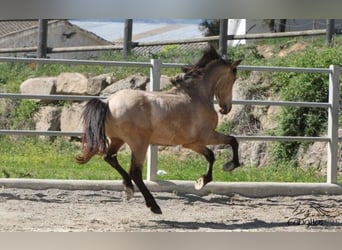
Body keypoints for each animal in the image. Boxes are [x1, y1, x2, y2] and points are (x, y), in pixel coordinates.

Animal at [76, 46, 242, 214]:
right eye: (233, 78)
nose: (226, 109)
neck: (197, 96)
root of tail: (108, 102)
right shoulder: (207, 136)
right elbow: (231, 141)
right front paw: (228, 167)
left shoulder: (191, 143)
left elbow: (210, 155)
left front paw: (201, 181)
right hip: (139, 144)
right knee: (135, 172)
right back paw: (153, 205)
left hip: (118, 139)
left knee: (110, 158)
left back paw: (129, 188)